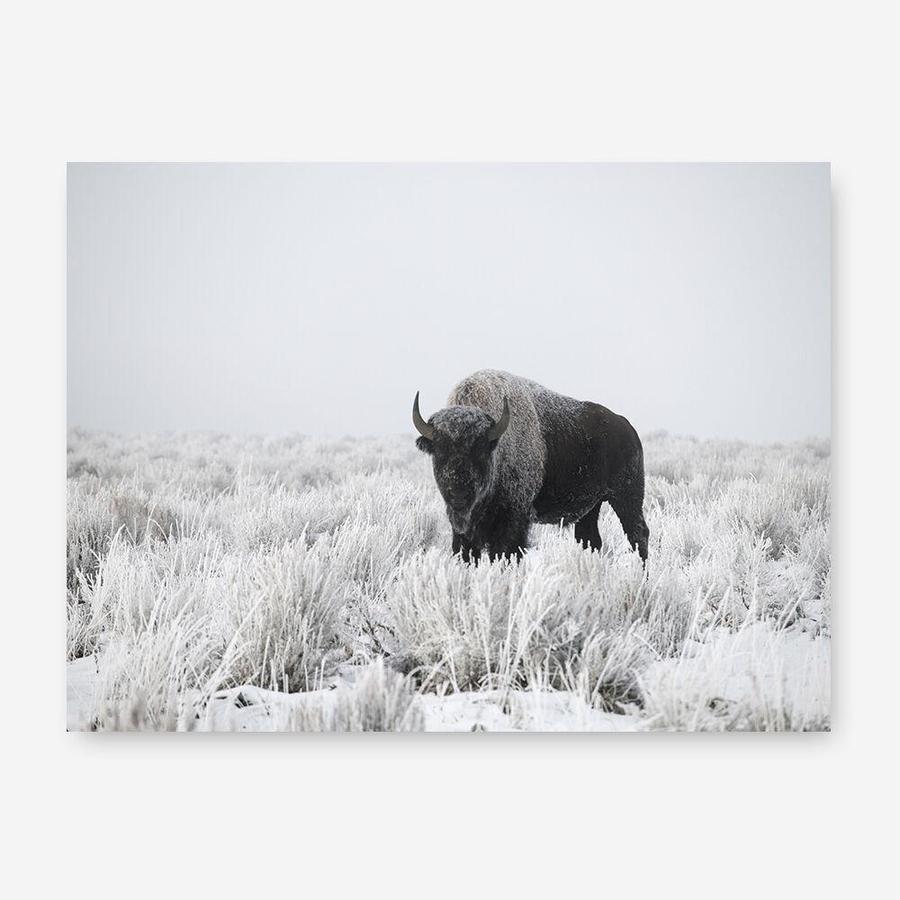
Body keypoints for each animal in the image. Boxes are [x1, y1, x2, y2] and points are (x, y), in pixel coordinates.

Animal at [413, 369, 649, 563]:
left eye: (479, 449)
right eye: (439, 450)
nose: (459, 494)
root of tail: (628, 429)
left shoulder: (514, 519)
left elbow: (506, 553)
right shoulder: (463, 530)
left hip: (626, 496)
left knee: (638, 534)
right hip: (592, 506)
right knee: (590, 540)